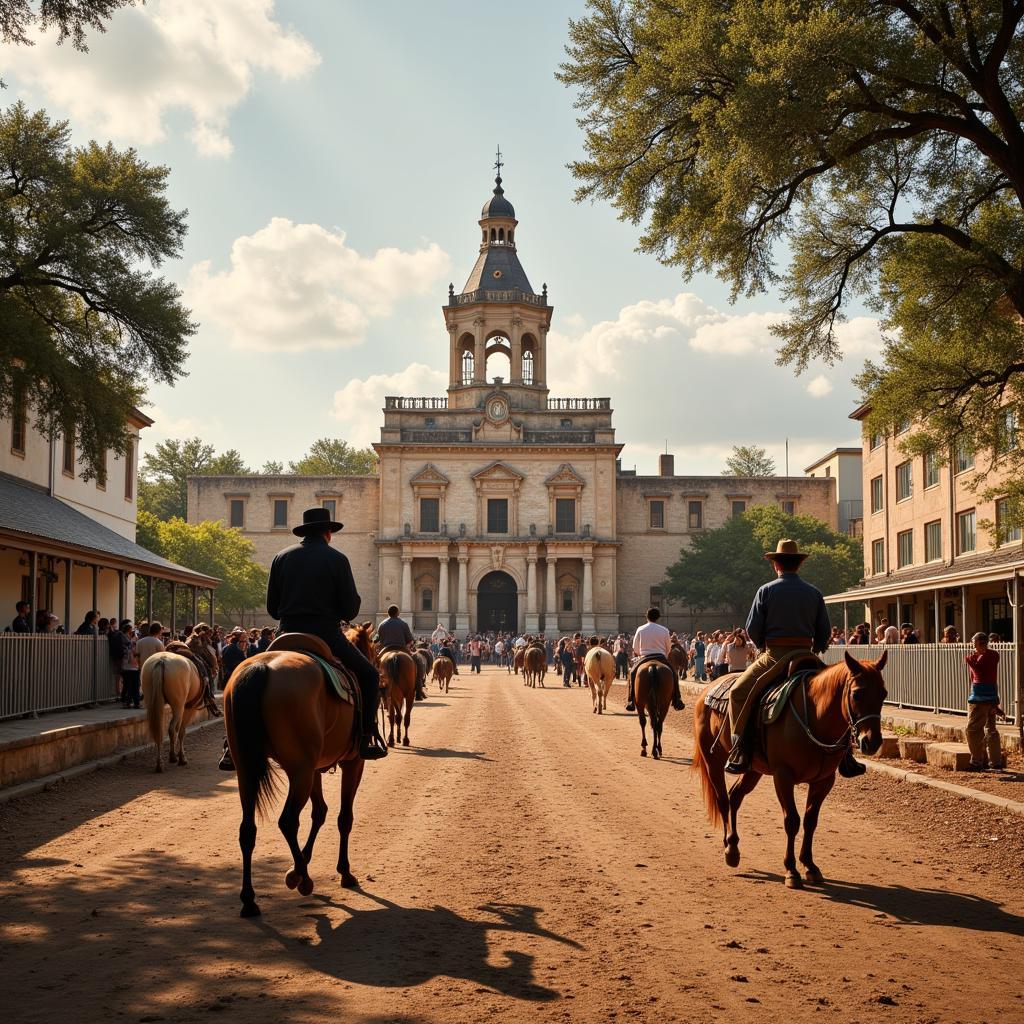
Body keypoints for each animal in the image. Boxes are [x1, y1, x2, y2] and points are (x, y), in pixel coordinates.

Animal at [223, 622, 376, 921]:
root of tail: (261, 666)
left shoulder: (315, 767)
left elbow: (320, 812)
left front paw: (299, 864)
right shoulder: (353, 763)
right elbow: (344, 817)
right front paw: (343, 872)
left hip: (247, 769)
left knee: (247, 829)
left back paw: (250, 900)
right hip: (299, 771)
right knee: (287, 821)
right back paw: (304, 880)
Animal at [696, 655, 888, 888]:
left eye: (883, 693)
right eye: (857, 694)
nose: (872, 742)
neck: (814, 717)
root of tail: (710, 687)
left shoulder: (824, 781)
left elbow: (810, 821)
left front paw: (810, 865)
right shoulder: (783, 776)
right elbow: (792, 821)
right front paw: (791, 870)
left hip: (753, 769)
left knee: (735, 796)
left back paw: (733, 844)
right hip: (713, 761)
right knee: (723, 800)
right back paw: (730, 849)